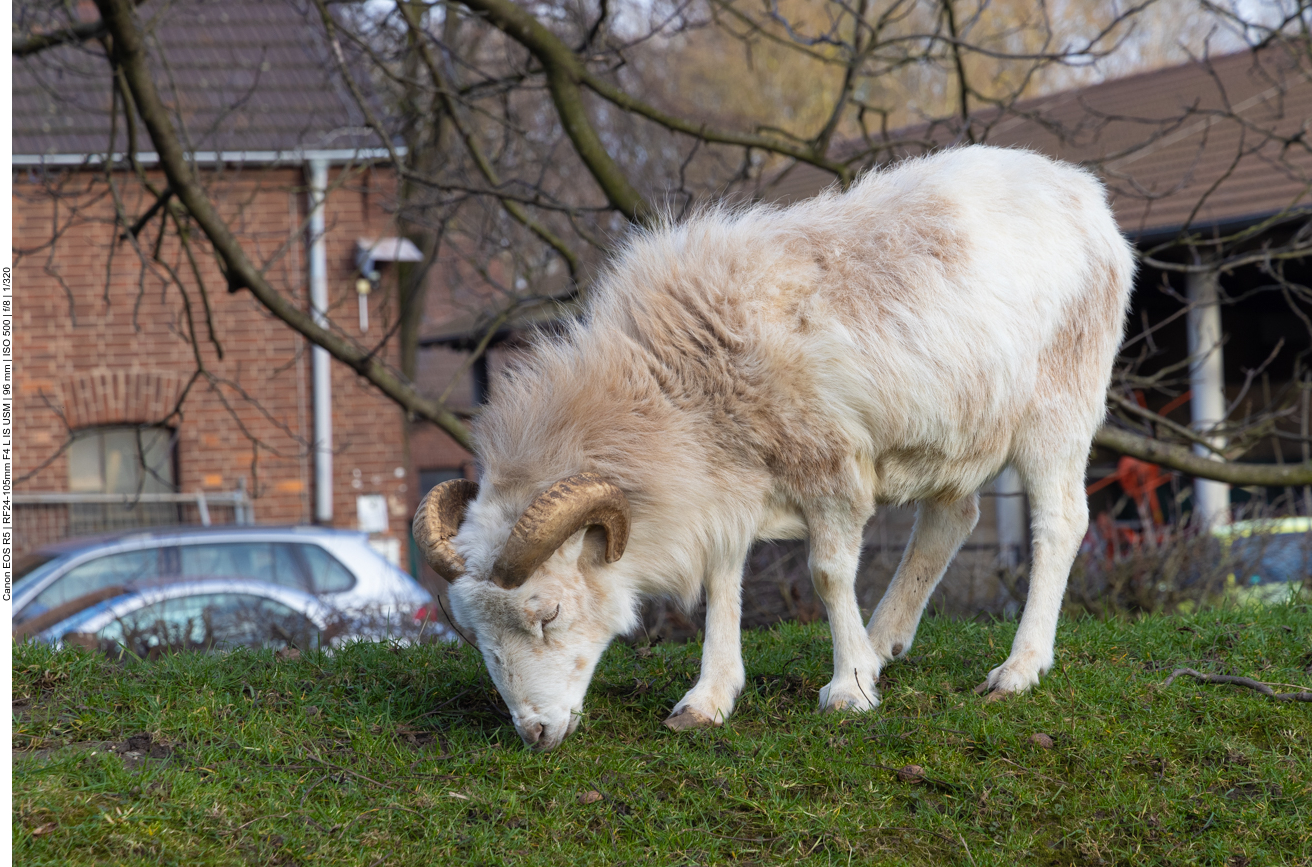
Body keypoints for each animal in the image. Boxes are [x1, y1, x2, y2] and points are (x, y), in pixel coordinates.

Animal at [414, 145, 1135, 751]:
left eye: (548, 615)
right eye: (476, 632)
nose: (535, 733)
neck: (677, 387)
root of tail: (1084, 194)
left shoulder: (828, 464)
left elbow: (827, 572)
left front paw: (847, 690)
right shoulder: (727, 485)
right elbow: (721, 579)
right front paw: (707, 700)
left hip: (1058, 410)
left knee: (1061, 524)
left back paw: (1016, 669)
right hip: (955, 430)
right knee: (952, 521)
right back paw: (883, 644)